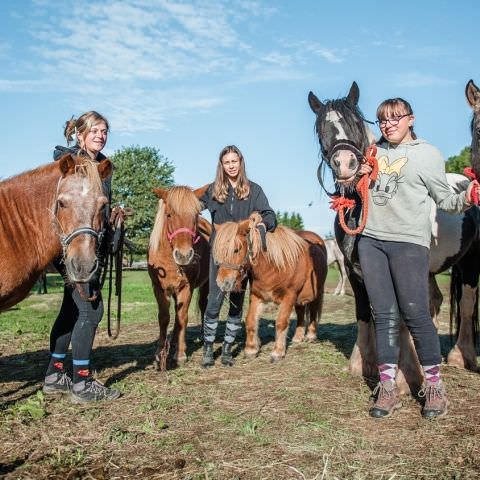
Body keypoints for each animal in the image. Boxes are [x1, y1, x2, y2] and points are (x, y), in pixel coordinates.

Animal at [148, 185, 210, 368]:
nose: (184, 255)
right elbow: (164, 318)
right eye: (169, 215)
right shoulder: (158, 288)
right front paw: (160, 353)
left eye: (196, 215)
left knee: (202, 305)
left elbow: (182, 317)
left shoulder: (186, 287)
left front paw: (180, 354)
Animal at [215, 212, 330, 362]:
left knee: (313, 311)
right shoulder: (257, 296)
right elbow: (251, 320)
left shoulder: (289, 296)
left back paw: (311, 335)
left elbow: (281, 322)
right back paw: (298, 337)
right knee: (300, 312)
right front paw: (251, 349)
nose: (222, 283)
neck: (274, 267)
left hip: (316, 292)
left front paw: (278, 352)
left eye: (236, 250)